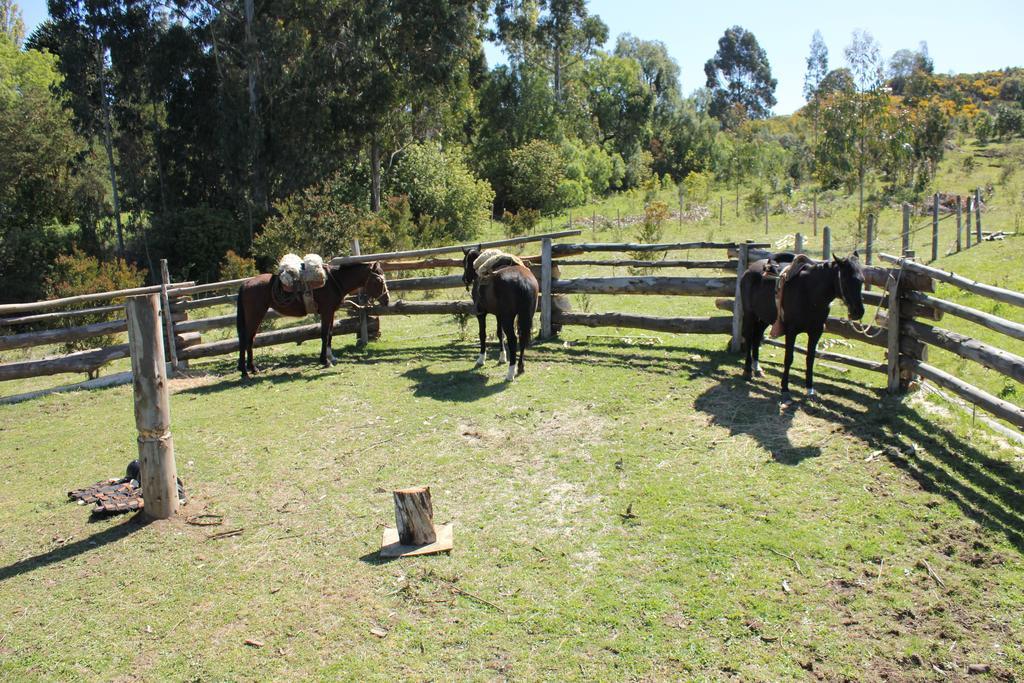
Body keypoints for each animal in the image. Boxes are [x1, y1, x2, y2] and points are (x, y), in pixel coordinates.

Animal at [234, 262, 389, 378]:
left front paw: (331, 357)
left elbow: (330, 334)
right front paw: (325, 361)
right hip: (255, 315)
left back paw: (251, 369)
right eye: (378, 280)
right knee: (246, 339)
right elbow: (324, 334)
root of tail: (246, 284)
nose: (386, 300)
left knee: (249, 339)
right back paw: (245, 371)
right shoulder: (326, 312)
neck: (334, 282)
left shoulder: (331, 312)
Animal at [462, 248, 540, 382]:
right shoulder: (499, 315)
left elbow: (482, 334)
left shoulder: (481, 313)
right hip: (525, 316)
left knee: (513, 339)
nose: (464, 278)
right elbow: (499, 334)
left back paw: (510, 373)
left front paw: (481, 359)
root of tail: (523, 281)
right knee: (522, 338)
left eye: (464, 262)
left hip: (508, 318)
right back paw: (520, 367)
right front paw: (502, 357)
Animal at [741, 250, 868, 401]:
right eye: (845, 279)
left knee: (757, 337)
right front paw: (785, 389)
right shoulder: (791, 331)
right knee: (749, 338)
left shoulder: (816, 332)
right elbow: (789, 358)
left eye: (862, 280)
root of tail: (750, 269)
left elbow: (810, 359)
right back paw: (747, 371)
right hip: (750, 314)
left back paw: (757, 369)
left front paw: (810, 390)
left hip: (764, 318)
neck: (810, 294)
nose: (858, 312)